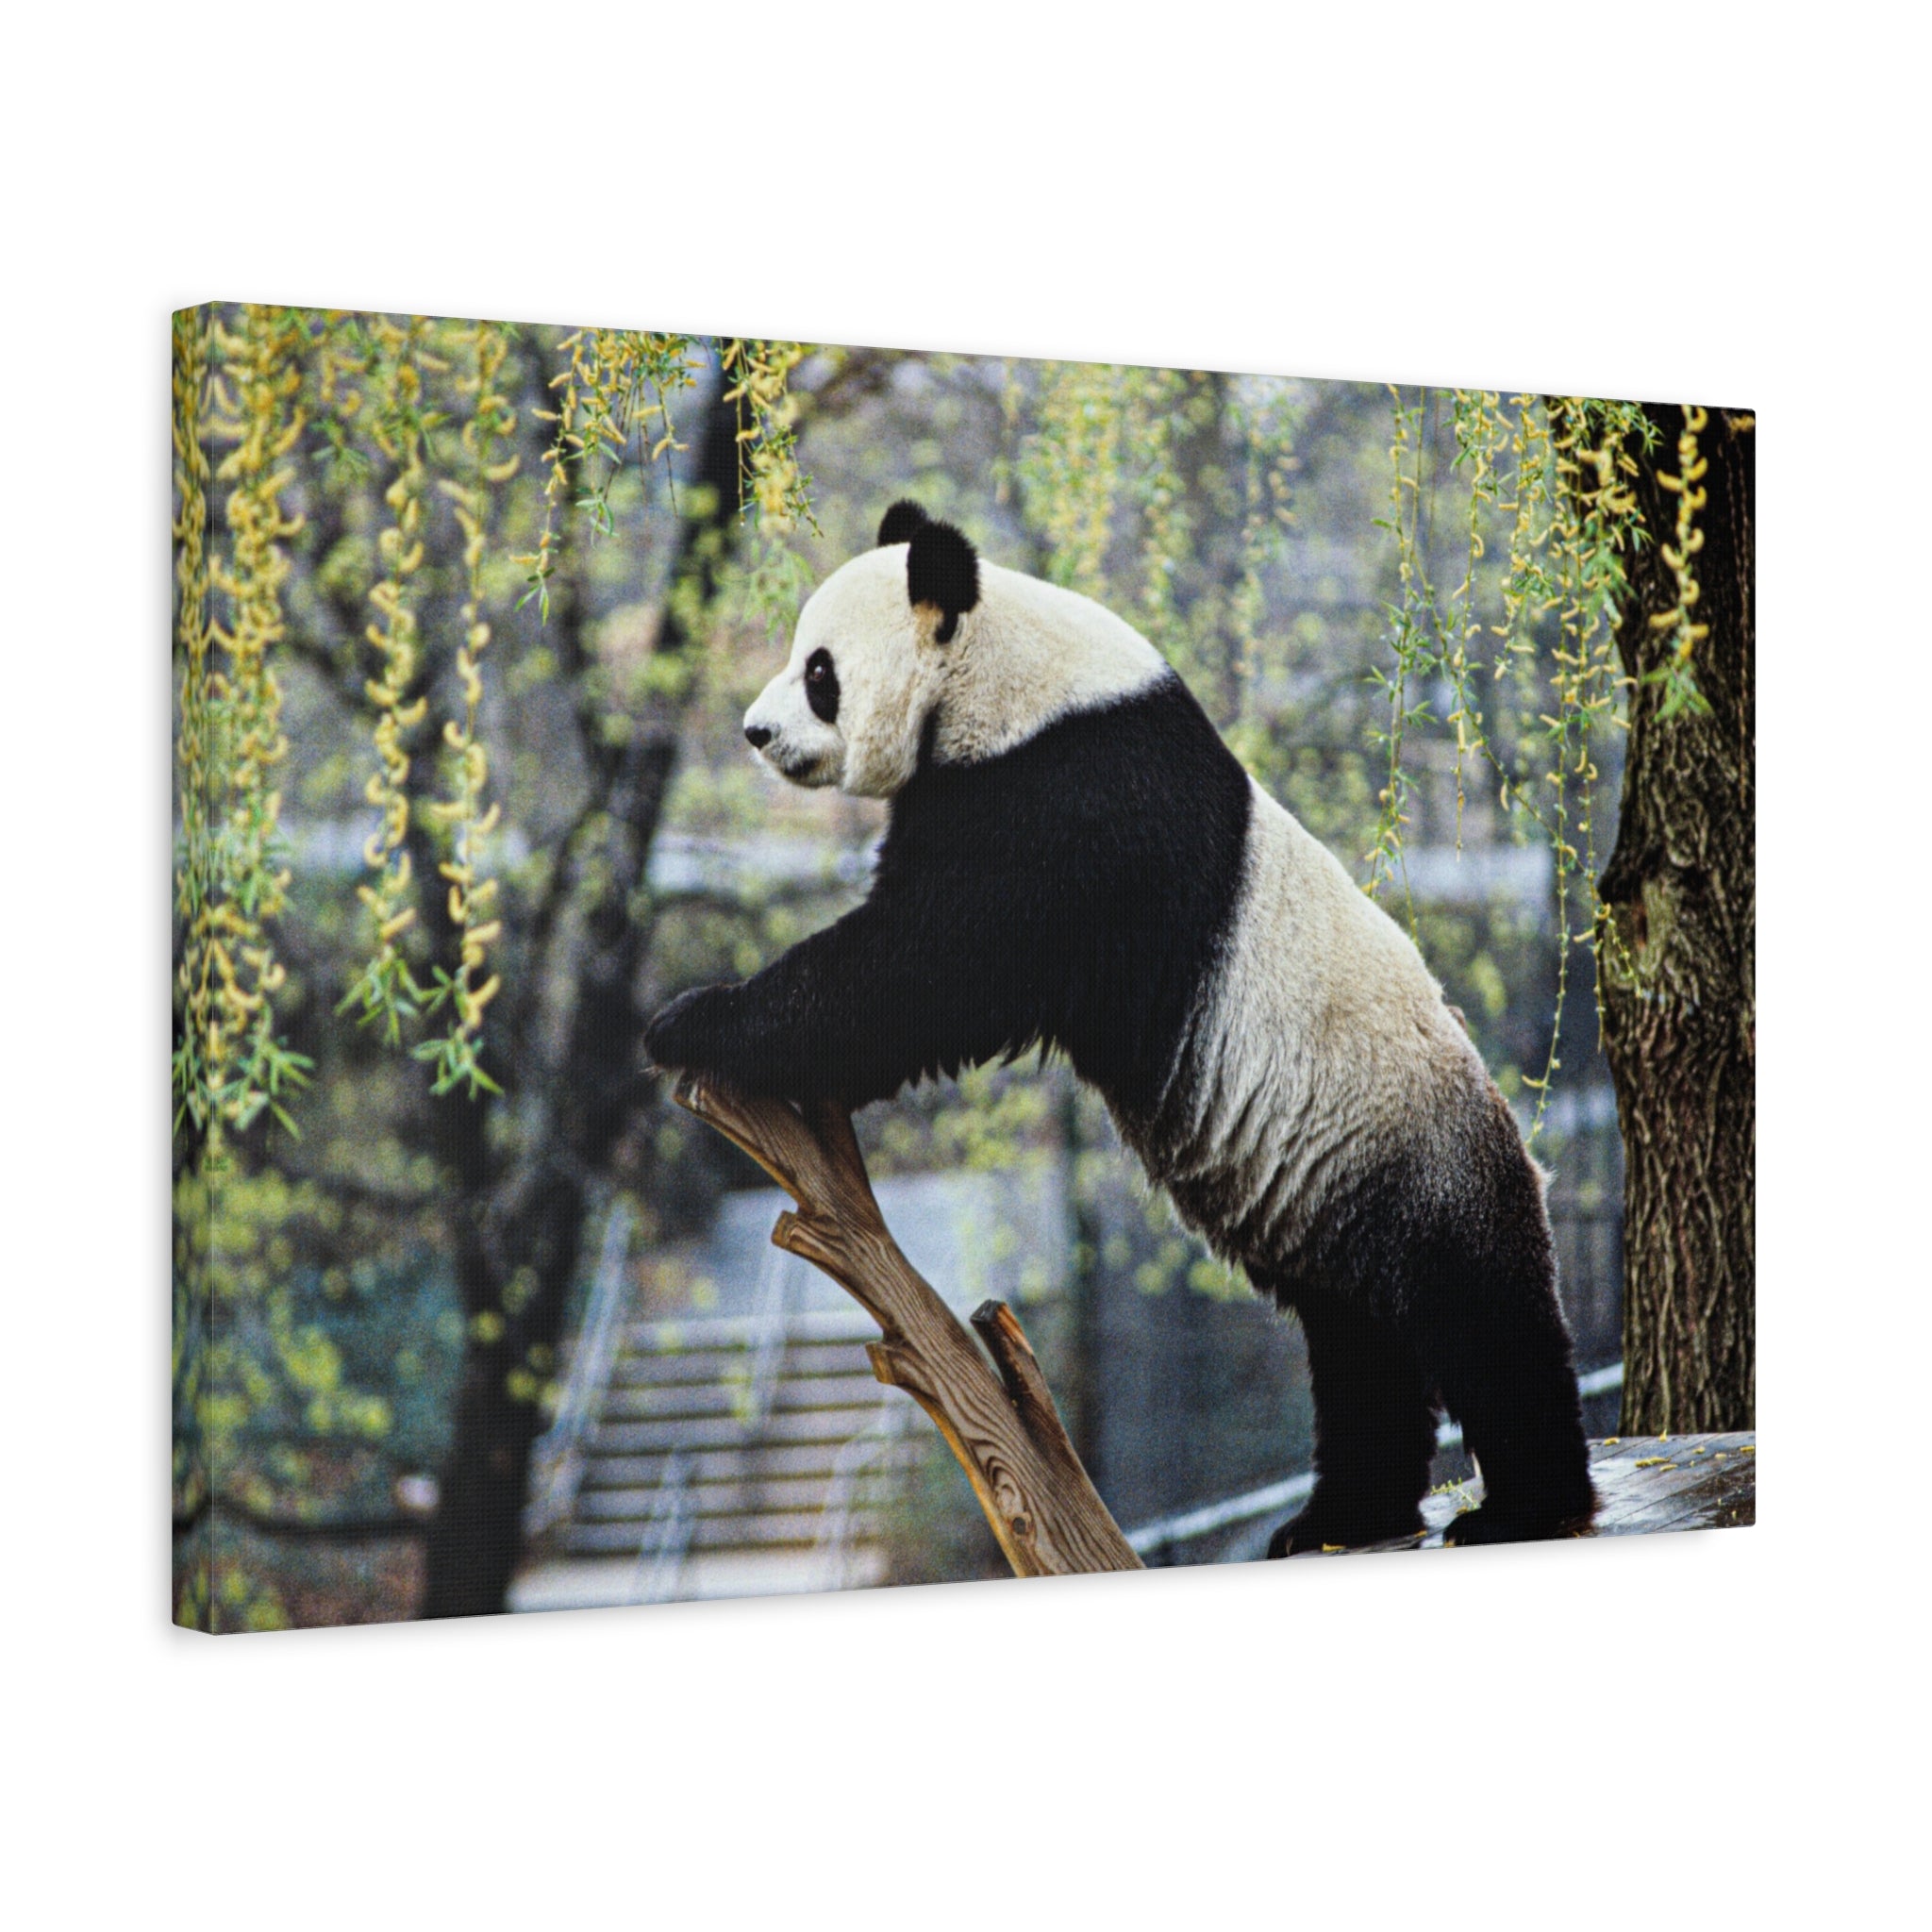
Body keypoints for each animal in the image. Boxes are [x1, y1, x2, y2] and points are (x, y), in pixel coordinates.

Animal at [646, 500, 1595, 1553]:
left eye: (819, 670)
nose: (755, 730)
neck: (1006, 673)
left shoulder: (1067, 801)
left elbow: (927, 967)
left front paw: (696, 1021)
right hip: (1336, 1190)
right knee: (1357, 1344)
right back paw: (1342, 1515)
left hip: (1416, 1156)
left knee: (1479, 1318)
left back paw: (1524, 1504)